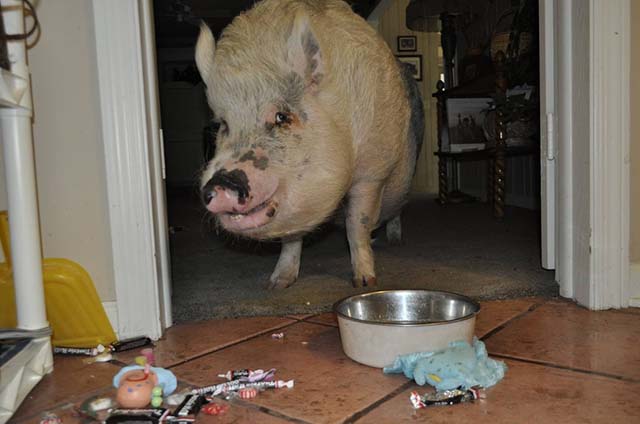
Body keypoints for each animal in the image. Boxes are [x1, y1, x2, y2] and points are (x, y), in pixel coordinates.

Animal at [196, 0, 424, 289]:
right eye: (224, 124)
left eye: (282, 116)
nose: (221, 182)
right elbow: (291, 239)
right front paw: (277, 284)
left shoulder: (371, 174)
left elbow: (357, 225)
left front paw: (365, 282)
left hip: (403, 180)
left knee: (395, 209)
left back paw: (395, 240)